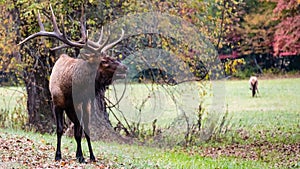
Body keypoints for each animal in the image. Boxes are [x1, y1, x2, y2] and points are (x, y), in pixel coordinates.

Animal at [18, 5, 126, 163]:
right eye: (104, 61)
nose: (125, 68)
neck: (69, 89)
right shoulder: (57, 104)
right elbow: (60, 129)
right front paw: (58, 155)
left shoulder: (81, 104)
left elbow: (79, 132)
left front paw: (81, 156)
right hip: (72, 109)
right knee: (77, 127)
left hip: (85, 106)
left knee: (85, 128)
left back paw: (91, 156)